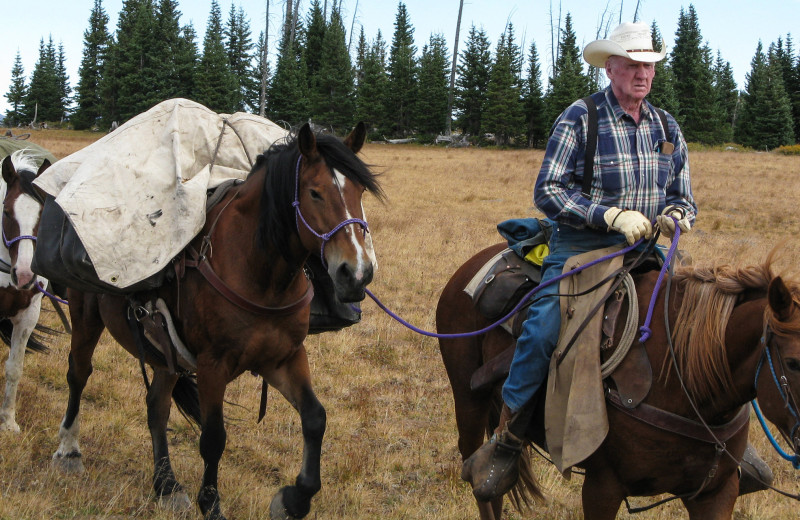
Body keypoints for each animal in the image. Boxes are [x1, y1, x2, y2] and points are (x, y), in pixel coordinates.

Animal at [47, 123, 384, 520]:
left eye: (359, 191)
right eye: (315, 192)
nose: (357, 273)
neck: (260, 274)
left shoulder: (283, 358)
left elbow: (315, 418)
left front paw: (294, 498)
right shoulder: (213, 365)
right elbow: (213, 439)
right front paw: (211, 504)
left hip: (166, 353)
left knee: (156, 407)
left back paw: (167, 485)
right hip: (85, 316)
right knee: (79, 374)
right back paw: (69, 451)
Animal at [438, 244, 800, 520]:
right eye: (794, 362)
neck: (683, 382)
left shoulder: (716, 492)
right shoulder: (603, 487)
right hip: (468, 401)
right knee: (484, 485)